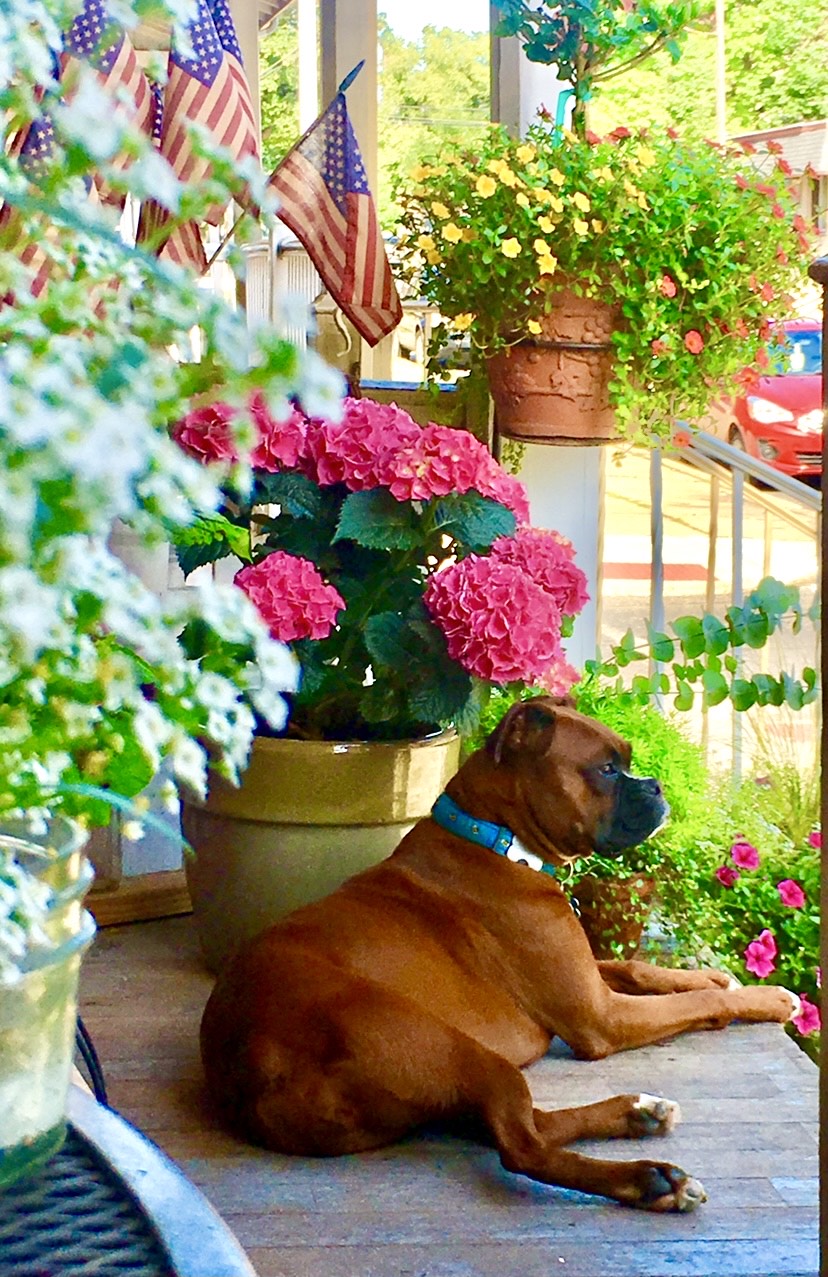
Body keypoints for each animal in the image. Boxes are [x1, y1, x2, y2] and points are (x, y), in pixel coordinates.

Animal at [199, 699, 797, 1205]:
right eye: (607, 770)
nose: (654, 786)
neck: (497, 840)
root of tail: (250, 1058)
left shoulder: (589, 978)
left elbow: (636, 967)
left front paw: (716, 978)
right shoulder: (601, 1017)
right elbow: (697, 1008)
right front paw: (766, 999)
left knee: (527, 1124)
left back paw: (638, 1114)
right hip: (459, 1051)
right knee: (522, 1147)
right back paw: (651, 1180)